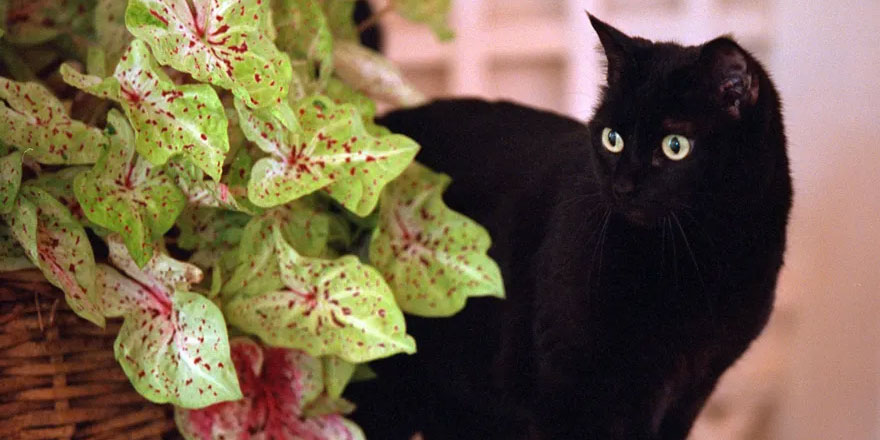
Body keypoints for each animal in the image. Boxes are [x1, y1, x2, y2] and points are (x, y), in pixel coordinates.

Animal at [348, 13, 796, 440]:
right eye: (612, 138)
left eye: (675, 146)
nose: (622, 186)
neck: (697, 257)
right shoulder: (566, 389)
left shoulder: (689, 390)